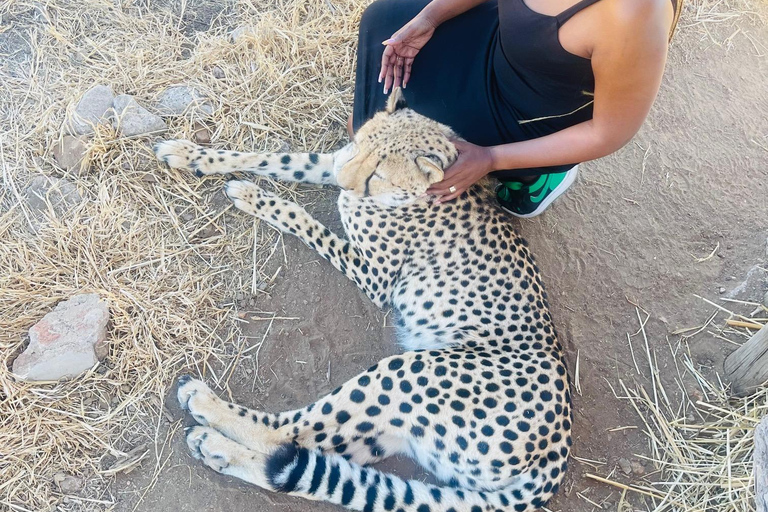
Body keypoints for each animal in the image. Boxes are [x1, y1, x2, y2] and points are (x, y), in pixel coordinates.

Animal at [153, 89, 568, 512]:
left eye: (379, 174)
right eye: (361, 145)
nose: (342, 183)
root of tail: (555, 454)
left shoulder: (374, 277)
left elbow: (304, 219)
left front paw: (256, 196)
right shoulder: (333, 161)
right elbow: (276, 159)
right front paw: (193, 155)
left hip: (411, 373)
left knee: (284, 435)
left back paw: (204, 405)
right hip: (392, 433)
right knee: (307, 461)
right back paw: (217, 450)